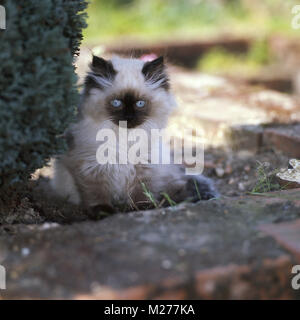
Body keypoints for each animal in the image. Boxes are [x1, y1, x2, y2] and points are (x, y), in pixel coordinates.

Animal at [51, 55, 218, 212]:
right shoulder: (91, 167)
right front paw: (103, 212)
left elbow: (141, 193)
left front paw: (141, 208)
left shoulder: (144, 167)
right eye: (116, 103)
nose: (129, 117)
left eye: (140, 104)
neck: (125, 138)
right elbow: (96, 195)